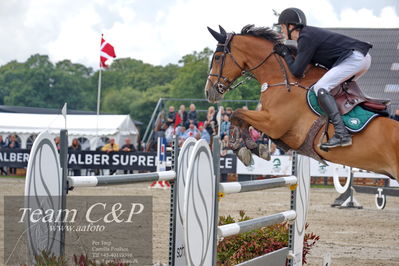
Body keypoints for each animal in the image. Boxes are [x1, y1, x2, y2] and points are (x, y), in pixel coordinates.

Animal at [205, 25, 399, 181]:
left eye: (217, 57)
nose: (208, 91)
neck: (283, 80)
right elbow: (242, 118)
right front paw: (253, 147)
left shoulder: (274, 123)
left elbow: (237, 113)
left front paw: (240, 147)